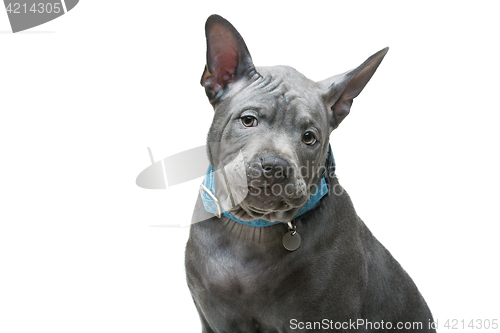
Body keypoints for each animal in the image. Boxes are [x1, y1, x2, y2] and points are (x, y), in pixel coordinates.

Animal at [186, 14, 436, 332]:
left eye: (309, 137)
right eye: (248, 120)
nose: (275, 166)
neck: (252, 230)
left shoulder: (323, 318)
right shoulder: (214, 318)